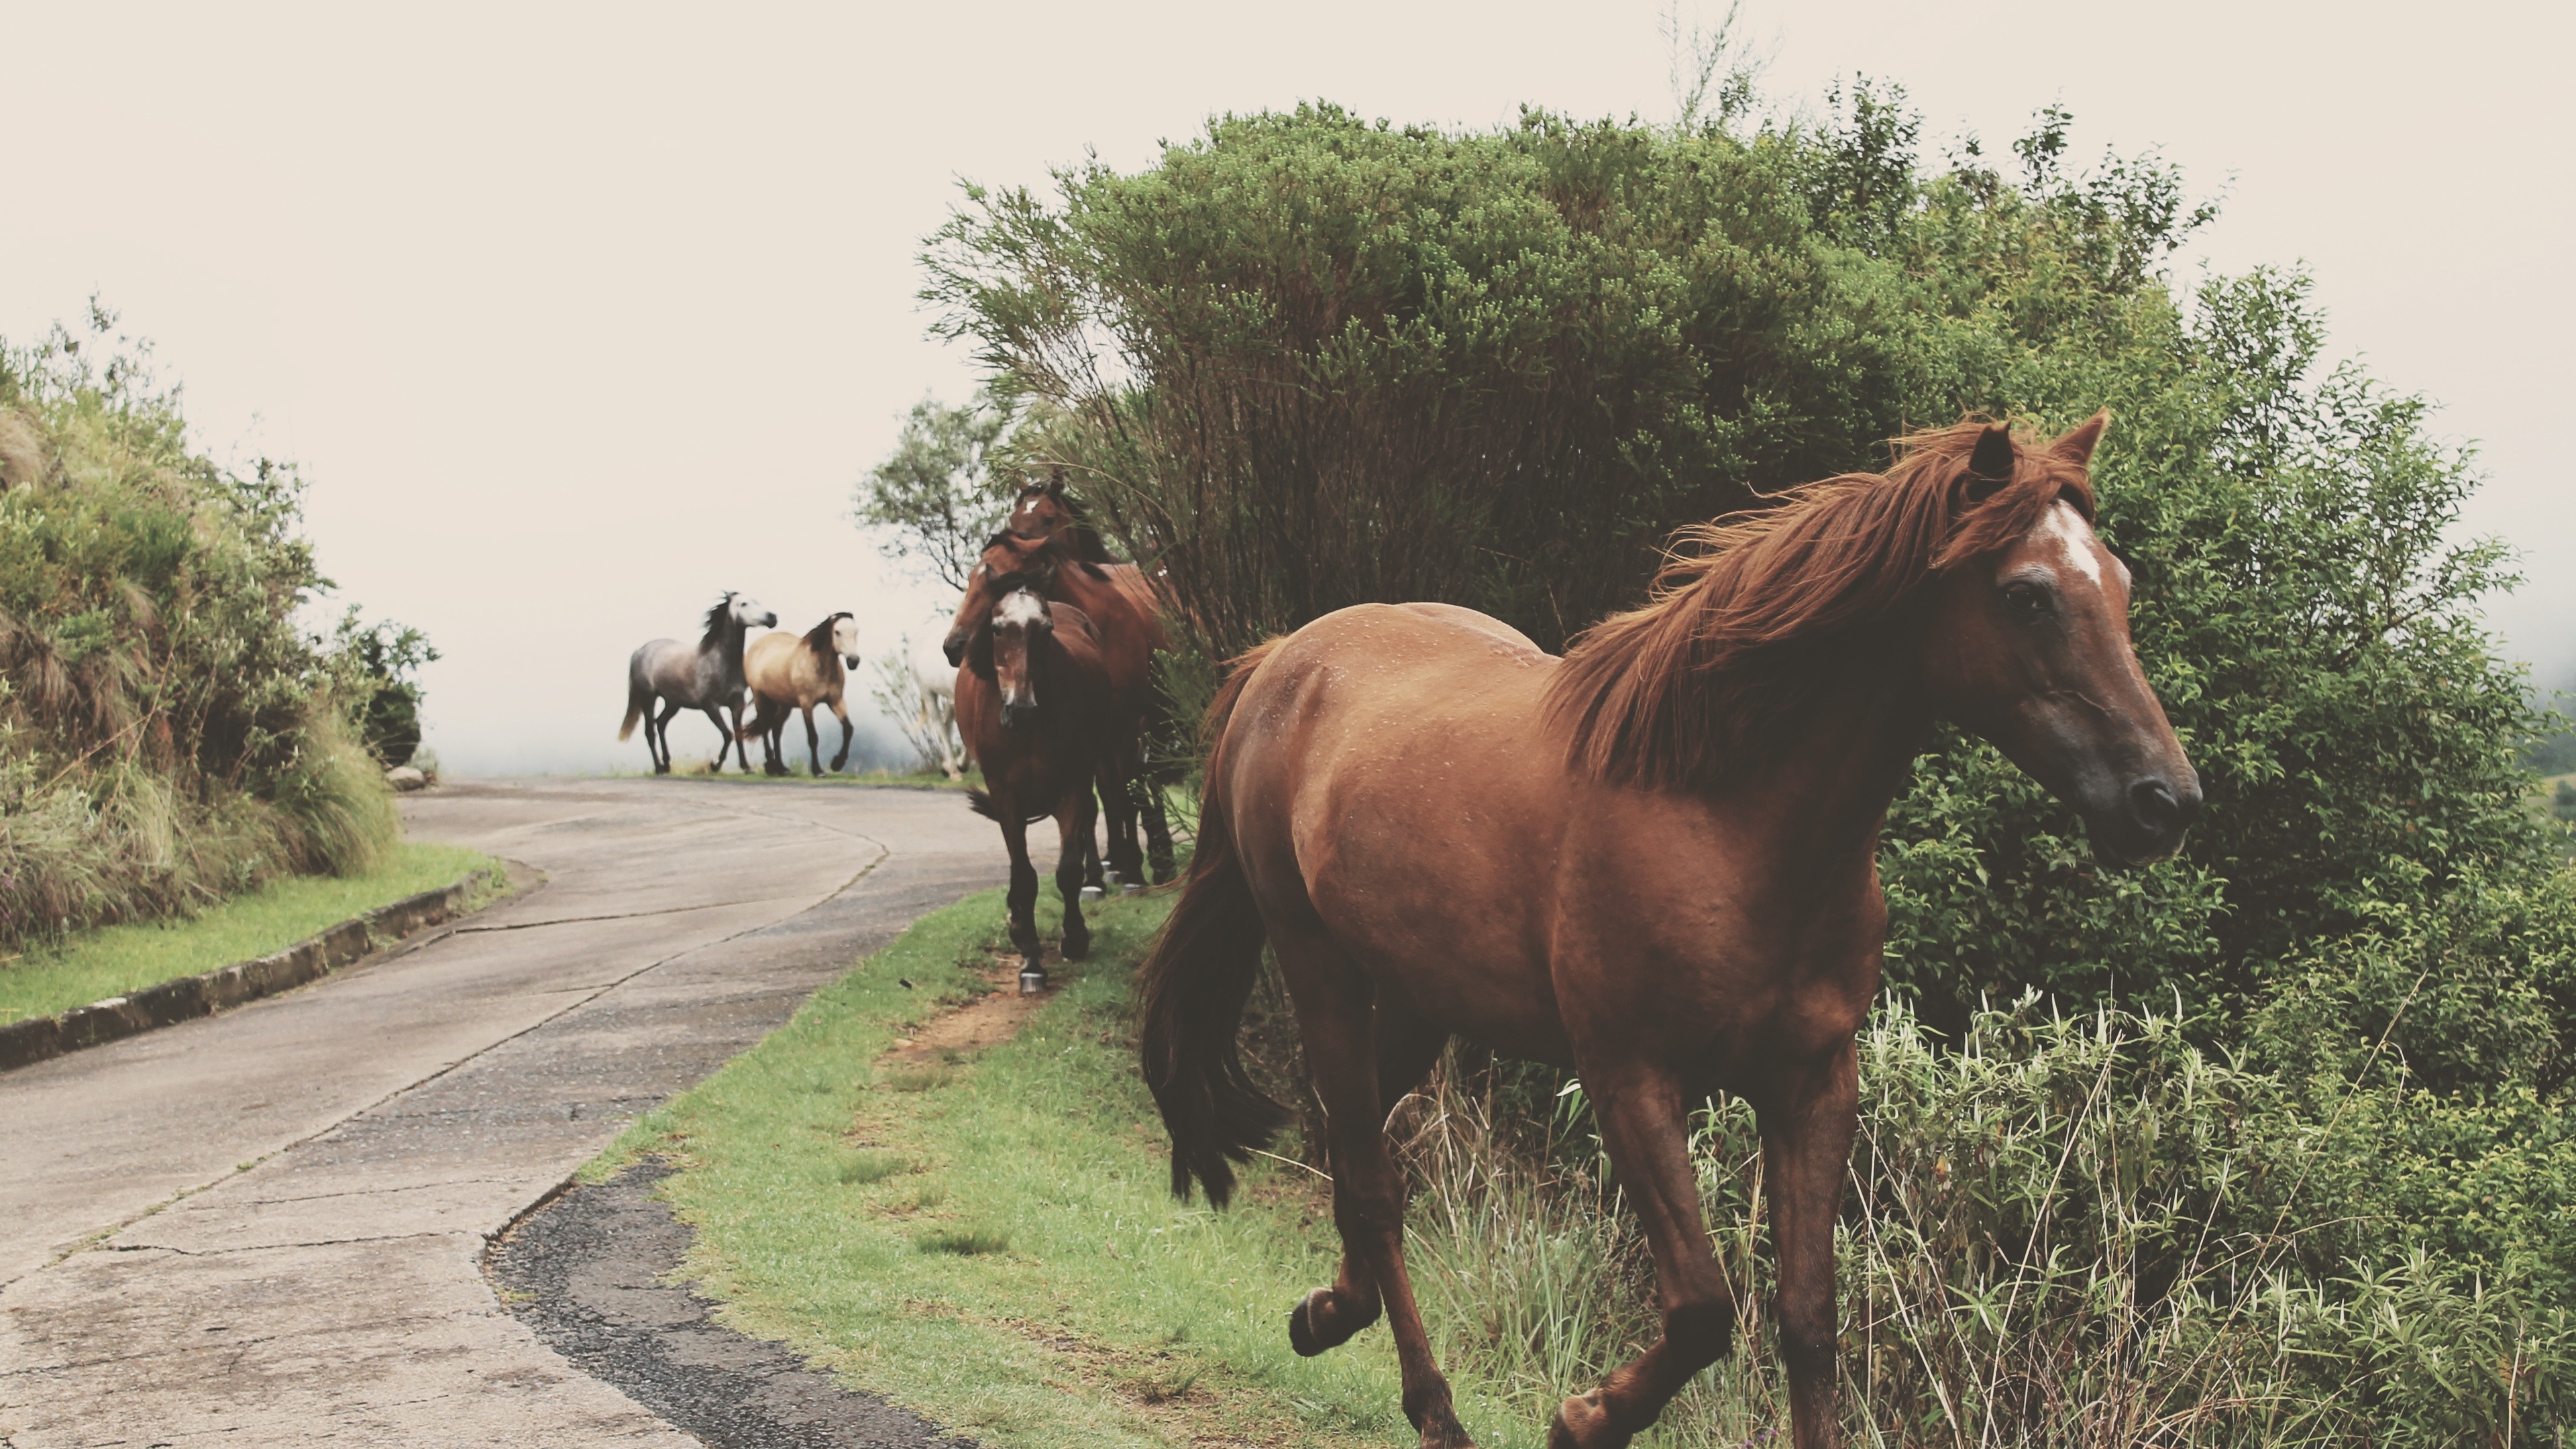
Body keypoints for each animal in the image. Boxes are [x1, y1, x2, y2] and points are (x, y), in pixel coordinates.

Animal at [621, 582, 773, 768]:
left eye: (757, 601)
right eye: (743, 604)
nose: (772, 618)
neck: (720, 663)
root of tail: (640, 650)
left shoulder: (737, 704)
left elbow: (738, 732)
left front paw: (745, 767)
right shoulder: (710, 706)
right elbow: (727, 734)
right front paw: (715, 765)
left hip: (673, 702)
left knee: (661, 723)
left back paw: (667, 763)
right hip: (648, 697)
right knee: (650, 731)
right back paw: (659, 768)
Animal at [747, 606, 865, 773]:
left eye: (856, 631)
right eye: (837, 632)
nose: (853, 661)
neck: (818, 666)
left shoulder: (836, 701)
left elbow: (848, 729)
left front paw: (837, 763)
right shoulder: (807, 704)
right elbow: (813, 737)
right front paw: (818, 770)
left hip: (785, 704)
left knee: (776, 729)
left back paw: (781, 768)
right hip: (760, 697)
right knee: (765, 727)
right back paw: (771, 765)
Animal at [958, 580, 1128, 985]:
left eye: (1046, 630)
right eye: (997, 628)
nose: (1021, 707)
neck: (1027, 730)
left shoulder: (1073, 783)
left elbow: (1068, 869)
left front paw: (1075, 938)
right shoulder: (1004, 793)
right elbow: (1023, 874)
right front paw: (1031, 959)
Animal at [1138, 415, 2205, 1444]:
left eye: (2120, 585)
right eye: (2028, 596)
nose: (2166, 802)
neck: (1725, 820)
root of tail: (1284, 658)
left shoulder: (1813, 1084)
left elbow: (1808, 1321)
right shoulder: (1631, 1078)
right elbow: (1702, 1309)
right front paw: (1582, 1418)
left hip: (1417, 996)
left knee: (1351, 1145)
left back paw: (1326, 1314)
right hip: (1318, 965)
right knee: (1372, 1182)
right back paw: (1434, 1409)